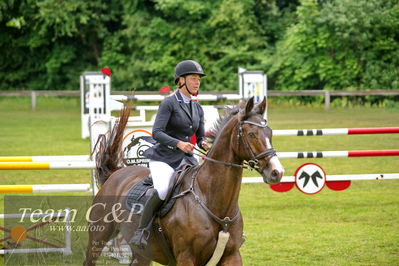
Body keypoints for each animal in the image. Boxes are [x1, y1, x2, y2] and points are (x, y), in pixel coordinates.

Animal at [83, 97, 284, 266]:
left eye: (270, 132)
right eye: (251, 134)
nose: (277, 172)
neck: (212, 202)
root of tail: (115, 174)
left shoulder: (232, 256)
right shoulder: (186, 257)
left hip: (142, 254)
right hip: (98, 238)